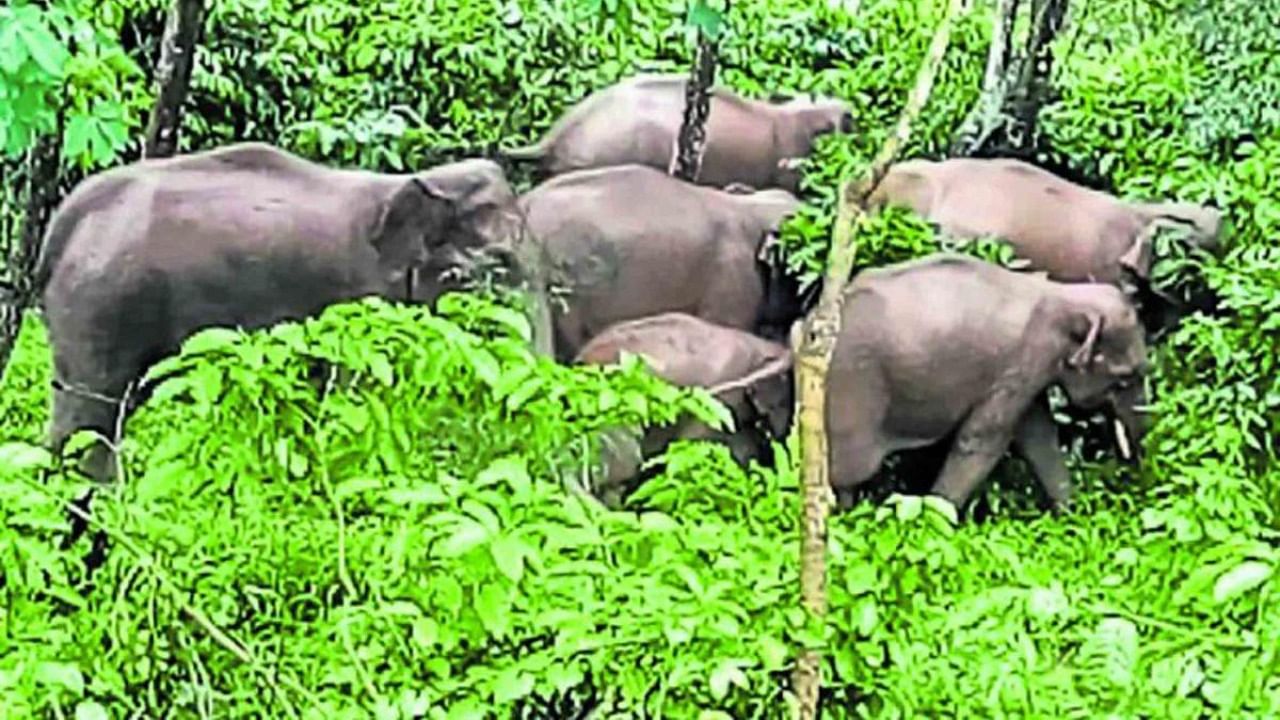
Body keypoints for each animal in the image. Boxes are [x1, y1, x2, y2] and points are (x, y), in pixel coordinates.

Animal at [36, 140, 524, 479]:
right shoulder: (356, 303)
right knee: (90, 420)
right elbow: (351, 402)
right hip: (100, 306)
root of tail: (63, 221)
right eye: (495, 265)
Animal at [829, 252, 1152, 509]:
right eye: (1124, 378)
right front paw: (936, 517)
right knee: (847, 474)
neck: (1063, 294)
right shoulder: (1020, 362)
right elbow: (983, 438)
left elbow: (1038, 436)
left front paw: (1072, 516)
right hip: (853, 386)